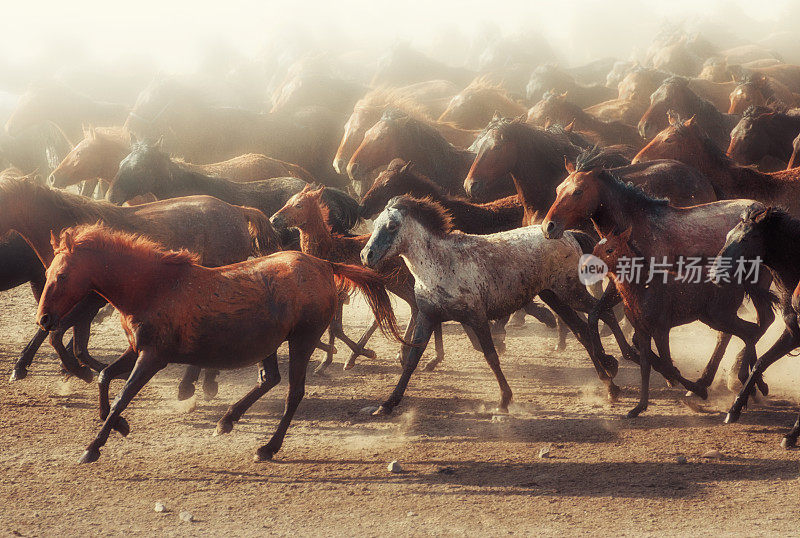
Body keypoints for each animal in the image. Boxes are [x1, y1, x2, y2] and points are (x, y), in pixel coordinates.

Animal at [36, 222, 404, 460]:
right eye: (48, 273)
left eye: (62, 275)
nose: (44, 320)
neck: (153, 287)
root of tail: (325, 264)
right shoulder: (136, 349)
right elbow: (103, 377)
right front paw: (120, 426)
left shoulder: (153, 357)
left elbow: (122, 395)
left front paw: (93, 447)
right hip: (269, 344)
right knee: (269, 379)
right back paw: (227, 421)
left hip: (302, 339)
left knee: (293, 392)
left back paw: (267, 448)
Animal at [536, 161, 776, 392]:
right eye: (558, 189)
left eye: (578, 191)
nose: (548, 226)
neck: (635, 229)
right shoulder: (619, 287)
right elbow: (596, 315)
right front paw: (612, 362)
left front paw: (669, 374)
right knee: (737, 330)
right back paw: (709, 380)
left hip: (755, 284)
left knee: (760, 323)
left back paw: (735, 377)